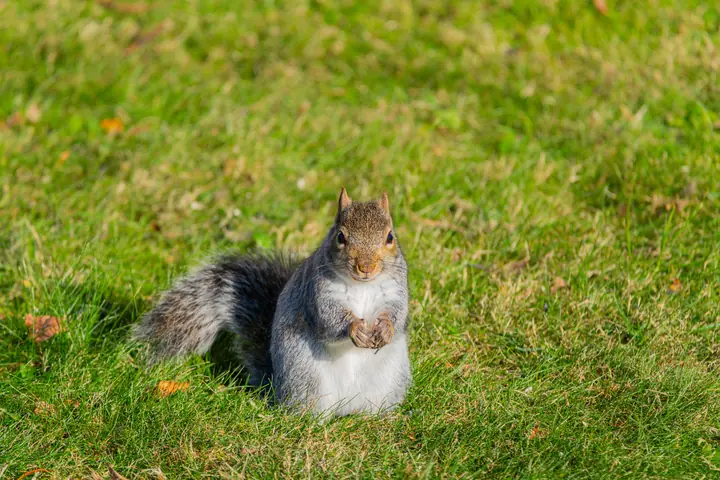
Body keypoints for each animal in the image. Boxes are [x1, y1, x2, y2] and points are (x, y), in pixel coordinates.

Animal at [133, 188, 411, 416]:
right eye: (340, 237)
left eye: (390, 237)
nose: (366, 267)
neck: (362, 286)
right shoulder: (317, 294)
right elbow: (328, 321)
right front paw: (354, 329)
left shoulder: (396, 290)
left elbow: (398, 313)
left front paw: (386, 329)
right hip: (307, 377)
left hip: (388, 380)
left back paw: (382, 419)